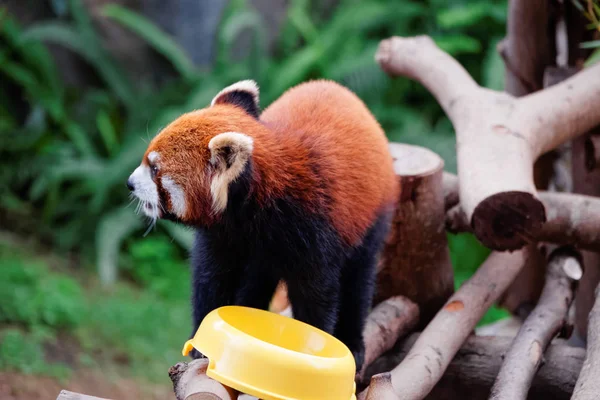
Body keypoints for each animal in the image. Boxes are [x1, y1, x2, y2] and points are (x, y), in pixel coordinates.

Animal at [126, 79, 398, 370]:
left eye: (155, 170)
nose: (129, 183)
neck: (254, 211)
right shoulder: (222, 234)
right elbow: (210, 278)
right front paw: (202, 340)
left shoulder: (315, 229)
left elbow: (317, 295)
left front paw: (312, 349)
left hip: (371, 218)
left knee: (359, 280)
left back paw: (353, 341)